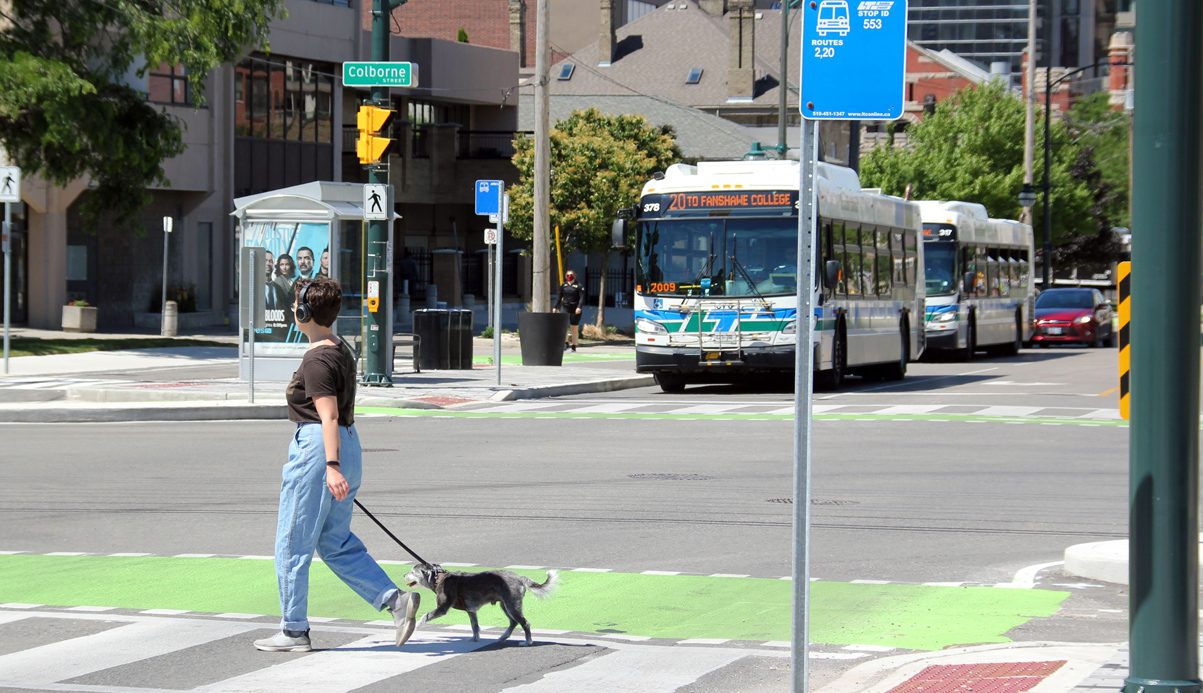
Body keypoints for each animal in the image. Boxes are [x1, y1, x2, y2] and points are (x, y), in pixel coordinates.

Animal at [401, 565, 555, 644]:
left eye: (412, 572)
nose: (403, 575)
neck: (439, 578)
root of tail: (520, 578)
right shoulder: (471, 610)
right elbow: (474, 626)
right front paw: (475, 638)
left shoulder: (442, 608)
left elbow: (424, 616)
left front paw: (416, 626)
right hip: (505, 605)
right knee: (513, 622)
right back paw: (503, 636)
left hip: (512, 605)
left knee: (525, 623)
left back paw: (527, 642)